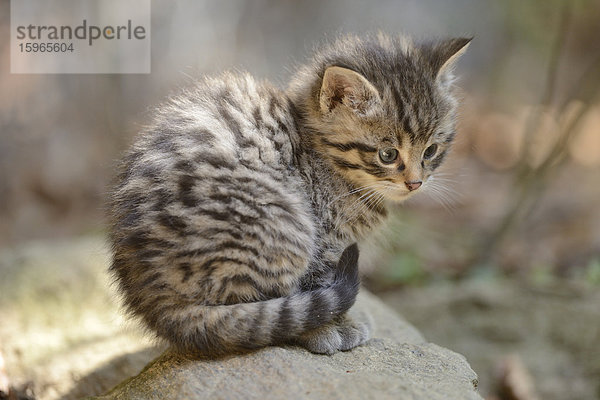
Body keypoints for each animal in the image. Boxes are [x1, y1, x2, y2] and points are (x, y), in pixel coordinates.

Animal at [110, 33, 472, 354]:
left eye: (431, 151)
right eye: (387, 154)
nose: (415, 183)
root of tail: (154, 297)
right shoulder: (325, 235)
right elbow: (318, 281)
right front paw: (333, 327)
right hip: (282, 222)